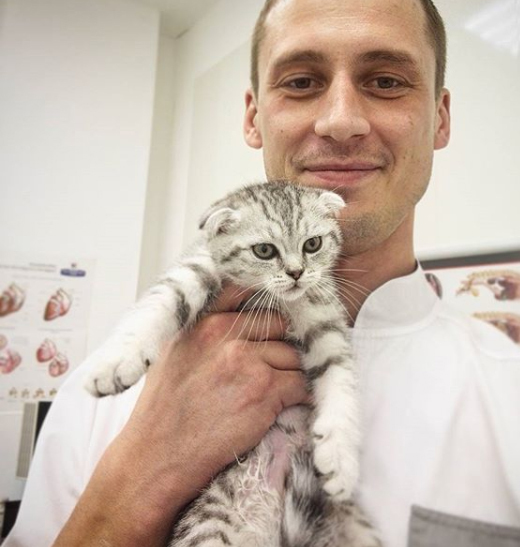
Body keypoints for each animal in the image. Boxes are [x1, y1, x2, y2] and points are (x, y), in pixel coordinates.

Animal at [83, 182, 380, 544]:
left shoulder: (323, 318)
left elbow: (340, 378)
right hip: (209, 526)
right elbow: (163, 299)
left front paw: (340, 457)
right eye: (264, 250)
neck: (277, 300)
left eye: (313, 244)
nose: (296, 273)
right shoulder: (198, 265)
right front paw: (115, 362)